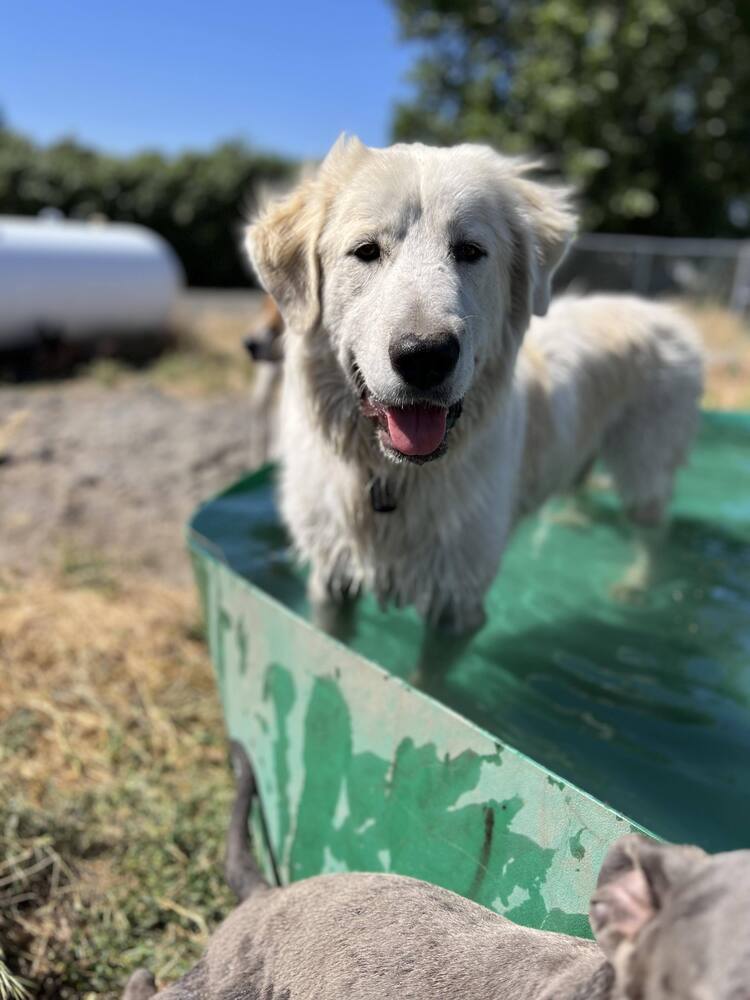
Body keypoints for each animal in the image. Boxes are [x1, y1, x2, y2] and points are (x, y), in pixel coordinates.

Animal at [247, 135, 704, 632]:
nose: (425, 357)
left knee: (653, 531)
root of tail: (669, 317)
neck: (394, 478)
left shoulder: (457, 602)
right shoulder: (332, 581)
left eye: (469, 251)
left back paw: (635, 585)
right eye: (366, 251)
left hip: (644, 466)